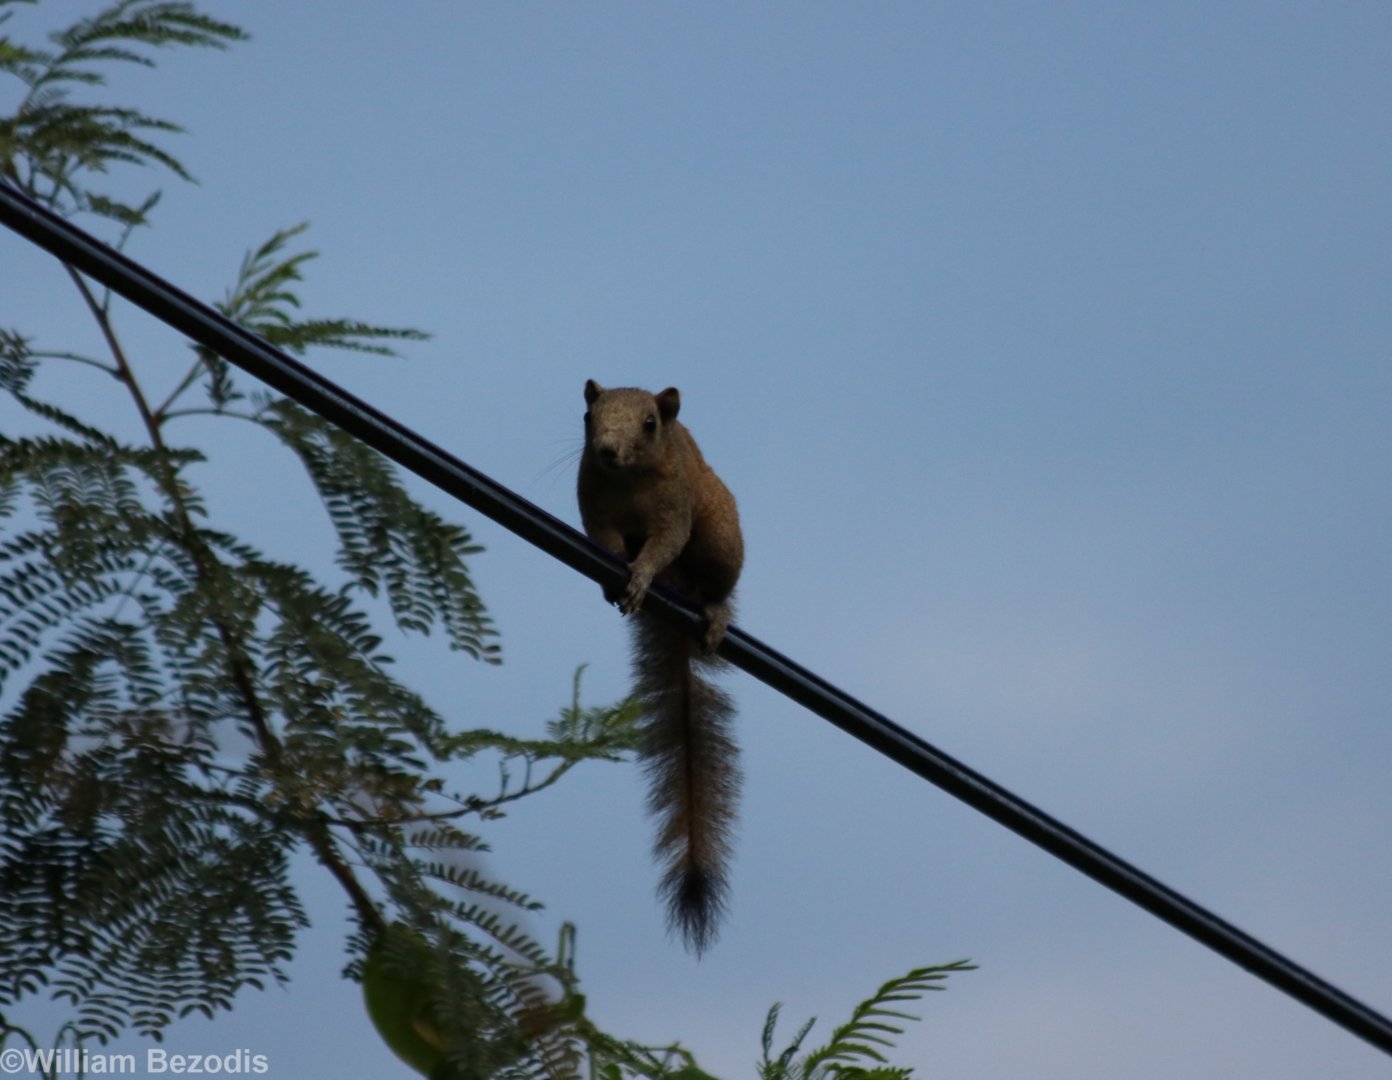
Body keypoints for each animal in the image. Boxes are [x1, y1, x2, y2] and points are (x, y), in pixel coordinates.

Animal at [576, 379, 744, 954]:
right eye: (588, 418)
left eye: (650, 424)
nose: (607, 449)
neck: (629, 480)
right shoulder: (593, 502)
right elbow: (603, 538)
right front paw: (617, 575)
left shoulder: (675, 507)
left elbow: (662, 543)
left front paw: (642, 574)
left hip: (719, 536)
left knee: (712, 581)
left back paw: (712, 610)